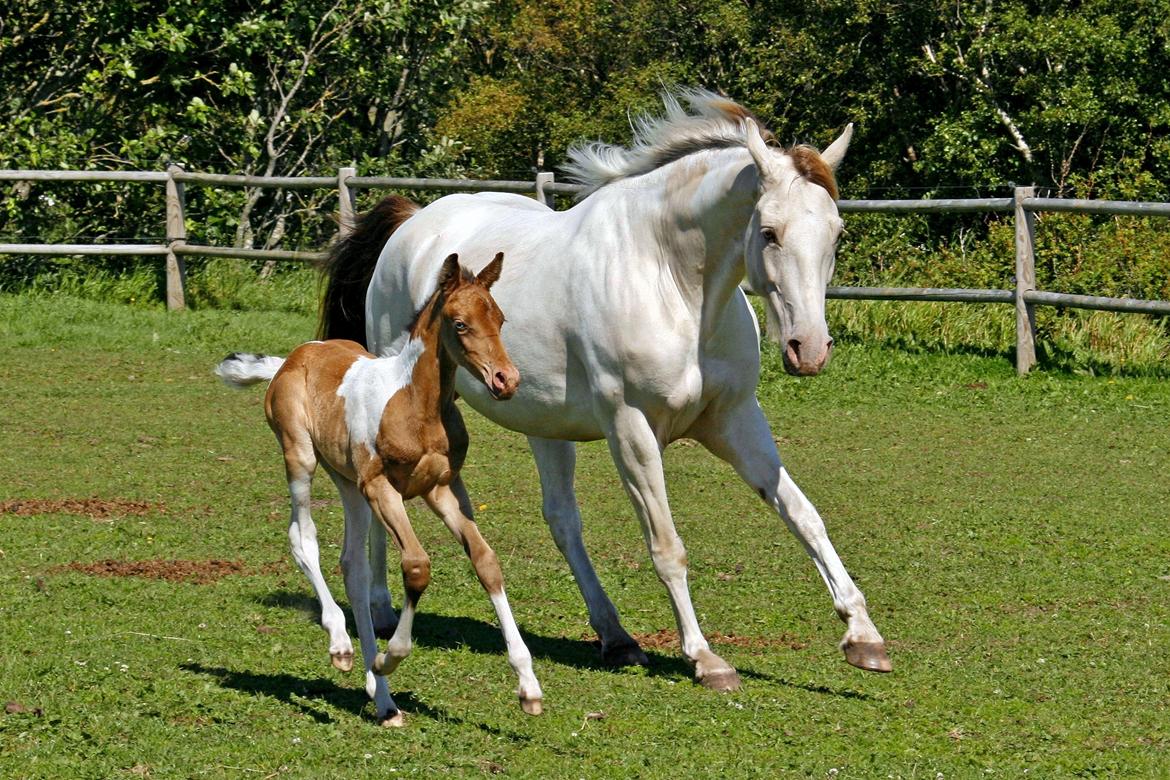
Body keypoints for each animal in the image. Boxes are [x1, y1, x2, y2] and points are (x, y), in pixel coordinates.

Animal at [217, 254, 540, 725]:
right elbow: (417, 566)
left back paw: (382, 698)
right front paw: (390, 657)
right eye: (460, 324)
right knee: (303, 537)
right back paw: (342, 645)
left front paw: (528, 686)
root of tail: (292, 358)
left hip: (349, 485)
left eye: (500, 319)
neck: (417, 404)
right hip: (303, 458)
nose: (506, 379)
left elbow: (486, 561)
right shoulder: (381, 486)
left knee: (352, 564)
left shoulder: (440, 488)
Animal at [320, 90, 884, 687]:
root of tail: (412, 223)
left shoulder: (735, 419)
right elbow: (667, 547)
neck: (671, 282)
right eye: (770, 232)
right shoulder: (630, 430)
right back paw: (381, 608)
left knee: (562, 520)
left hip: (543, 423)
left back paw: (616, 637)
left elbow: (803, 515)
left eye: (836, 233)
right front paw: (705, 657)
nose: (809, 349)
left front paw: (863, 636)